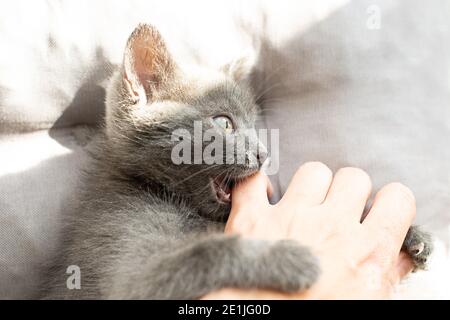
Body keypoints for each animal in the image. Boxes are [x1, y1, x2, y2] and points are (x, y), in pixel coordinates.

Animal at [43, 23, 432, 298]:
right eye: (224, 123)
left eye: (253, 125)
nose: (263, 153)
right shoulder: (125, 260)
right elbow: (203, 253)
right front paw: (286, 258)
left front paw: (412, 234)